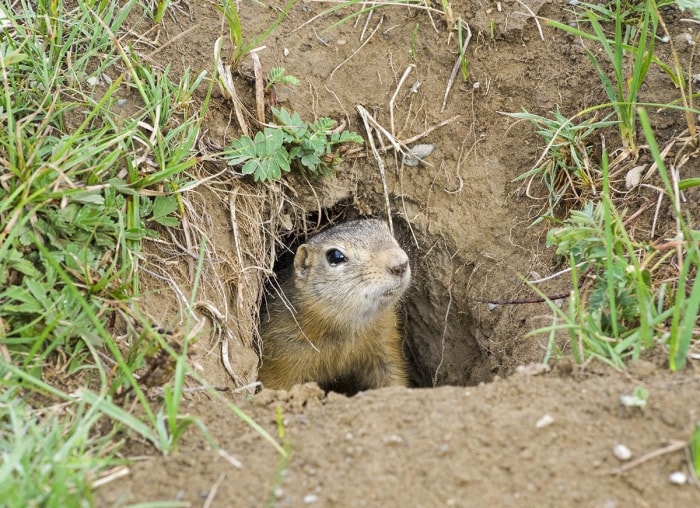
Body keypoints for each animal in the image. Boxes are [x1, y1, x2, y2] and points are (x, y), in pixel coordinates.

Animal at [258, 218, 410, 392]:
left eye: (387, 230)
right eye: (335, 256)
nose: (400, 264)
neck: (348, 326)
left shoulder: (384, 342)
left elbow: (392, 373)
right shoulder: (280, 359)